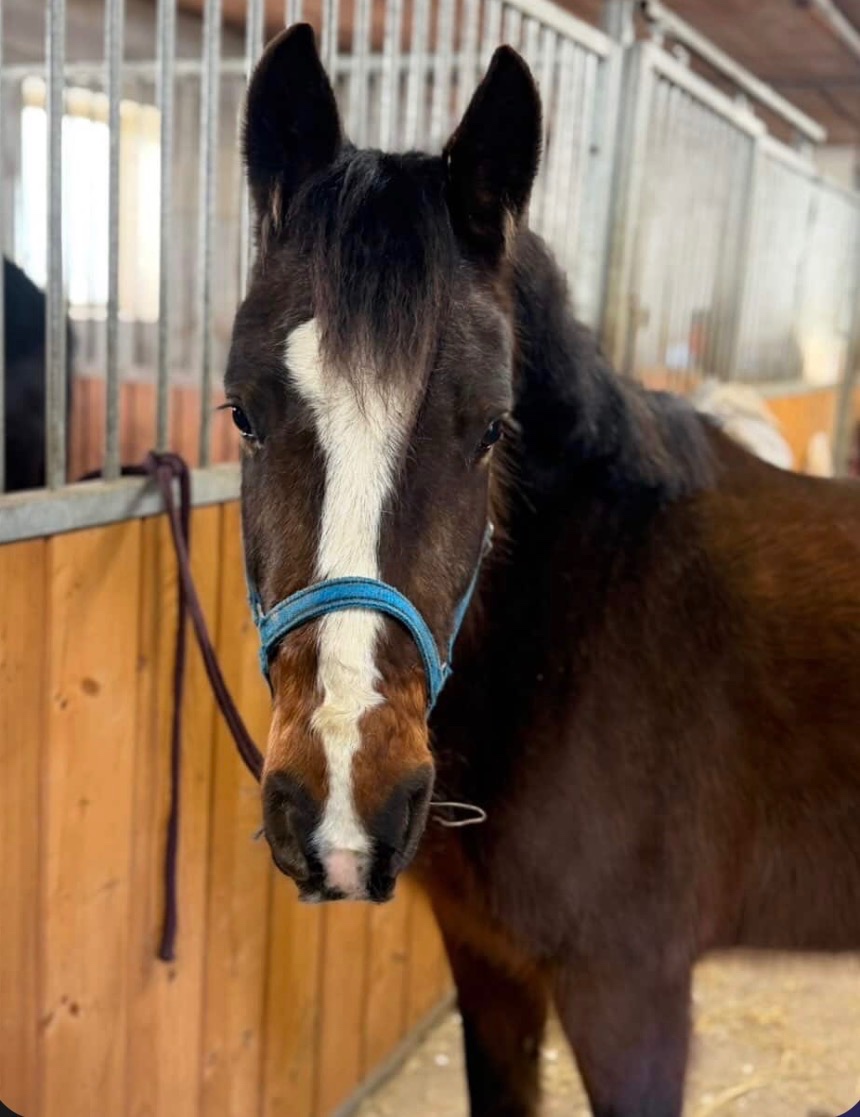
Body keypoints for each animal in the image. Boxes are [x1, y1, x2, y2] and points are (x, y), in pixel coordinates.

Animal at [226, 27, 860, 1117]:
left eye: (491, 427)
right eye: (242, 413)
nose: (342, 805)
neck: (584, 638)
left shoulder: (631, 996)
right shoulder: (490, 965)